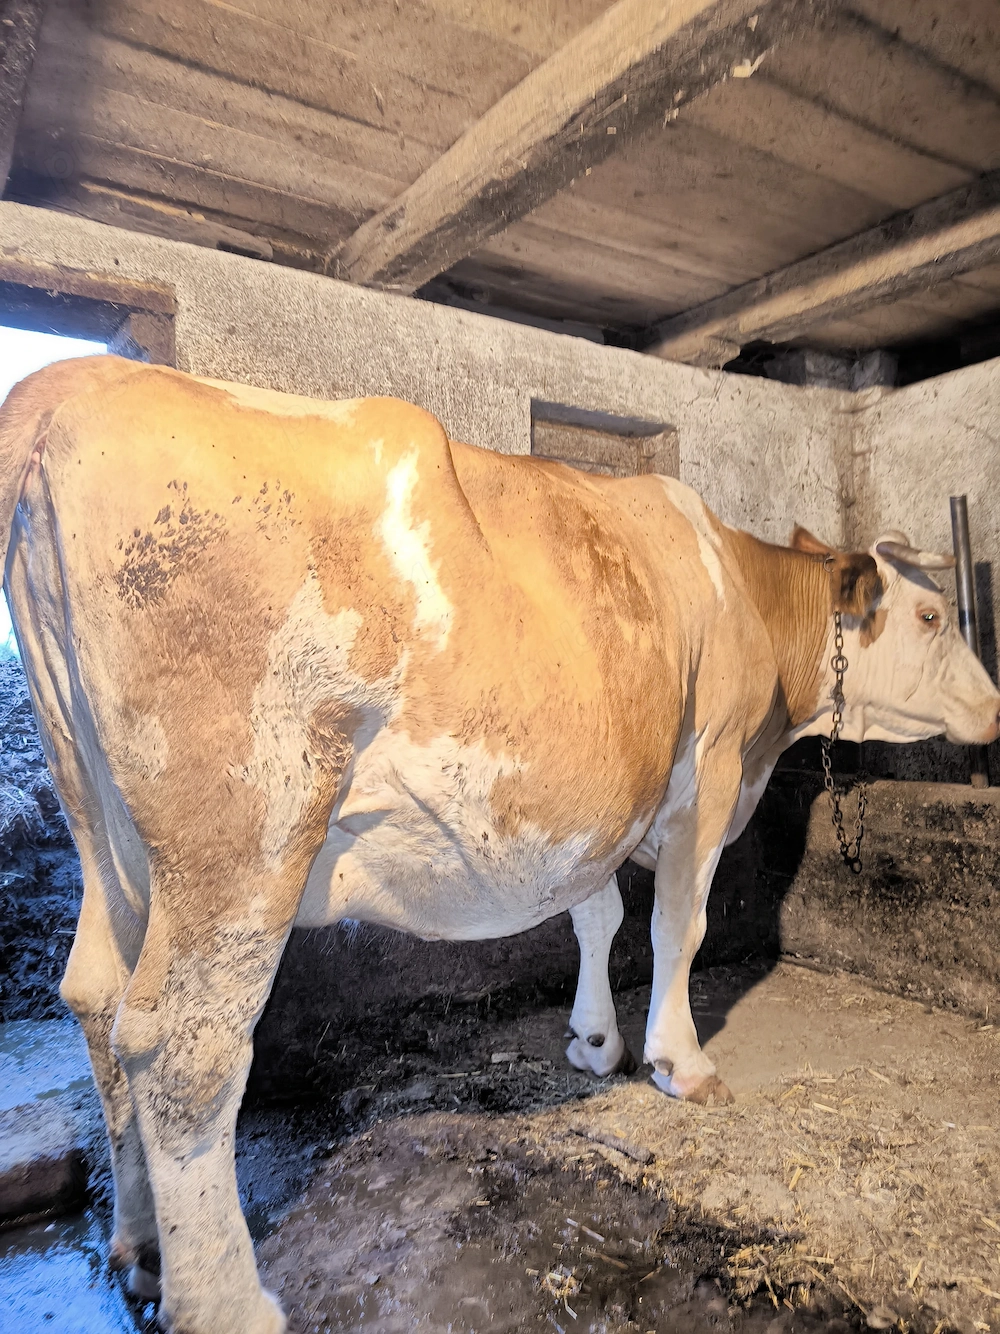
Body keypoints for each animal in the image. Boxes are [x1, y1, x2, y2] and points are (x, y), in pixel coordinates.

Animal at [1, 355, 997, 1334]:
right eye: (932, 617)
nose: (994, 705)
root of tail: (79, 383)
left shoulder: (598, 806)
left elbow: (596, 916)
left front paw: (595, 1040)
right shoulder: (709, 771)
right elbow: (680, 927)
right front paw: (680, 1062)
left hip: (105, 832)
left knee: (96, 993)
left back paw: (141, 1245)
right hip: (246, 831)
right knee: (183, 1046)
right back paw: (229, 1302)